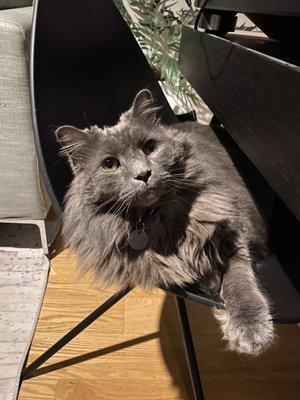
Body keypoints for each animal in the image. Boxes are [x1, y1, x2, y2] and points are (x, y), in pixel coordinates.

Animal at [56, 89, 274, 354]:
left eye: (150, 147)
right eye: (109, 164)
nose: (143, 174)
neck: (155, 218)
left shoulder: (234, 227)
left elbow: (239, 277)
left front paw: (251, 328)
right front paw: (211, 282)